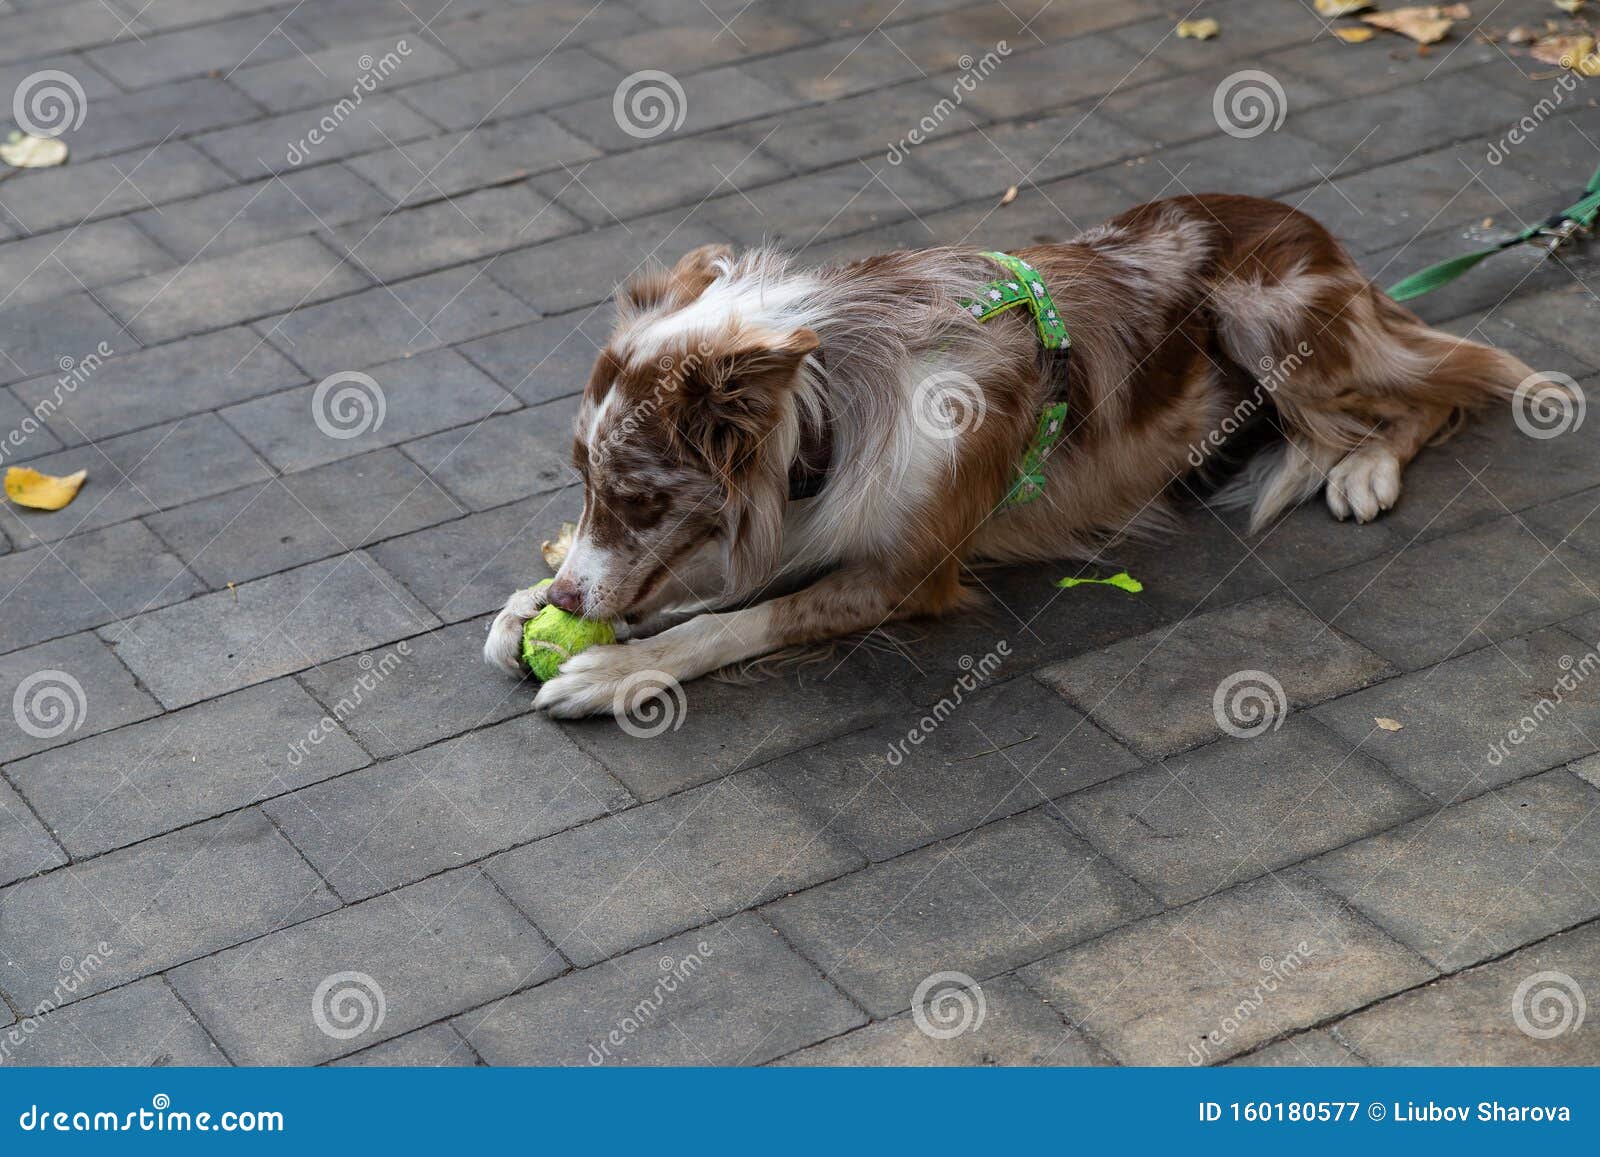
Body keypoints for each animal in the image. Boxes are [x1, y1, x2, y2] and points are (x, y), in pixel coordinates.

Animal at [480, 196, 1529, 720]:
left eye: (636, 497)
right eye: (585, 484)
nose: (568, 601)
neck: (825, 419)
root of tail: (1330, 241)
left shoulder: (908, 574)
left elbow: (735, 620)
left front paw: (616, 671)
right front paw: (529, 606)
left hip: (1266, 316)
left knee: (1446, 385)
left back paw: (1366, 468)